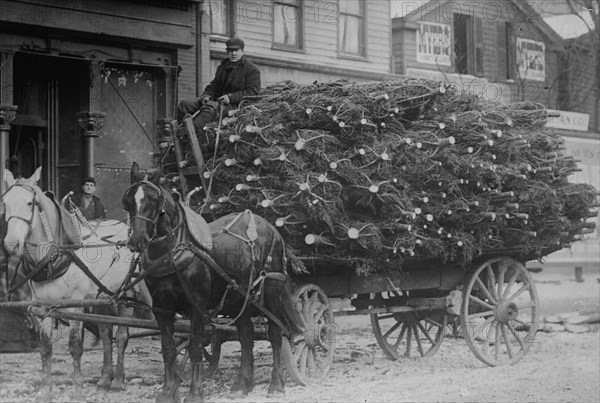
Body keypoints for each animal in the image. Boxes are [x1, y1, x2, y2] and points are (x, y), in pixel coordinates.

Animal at [1, 168, 150, 403]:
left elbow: (75, 347)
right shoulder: (44, 307)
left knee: (121, 337)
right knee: (106, 334)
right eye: (5, 202)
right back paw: (104, 379)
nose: (10, 245)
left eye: (30, 203)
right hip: (102, 298)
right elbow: (45, 349)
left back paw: (118, 380)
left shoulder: (74, 306)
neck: (57, 255)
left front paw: (78, 389)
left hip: (125, 296)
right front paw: (45, 391)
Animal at [124, 164, 304, 403]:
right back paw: (241, 385)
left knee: (275, 334)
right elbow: (168, 348)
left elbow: (195, 348)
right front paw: (168, 392)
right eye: (128, 200)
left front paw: (194, 393)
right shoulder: (162, 308)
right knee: (246, 335)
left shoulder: (196, 306)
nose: (136, 240)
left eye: (154, 199)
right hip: (238, 298)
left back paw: (276, 384)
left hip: (271, 293)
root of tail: (272, 229)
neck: (173, 251)